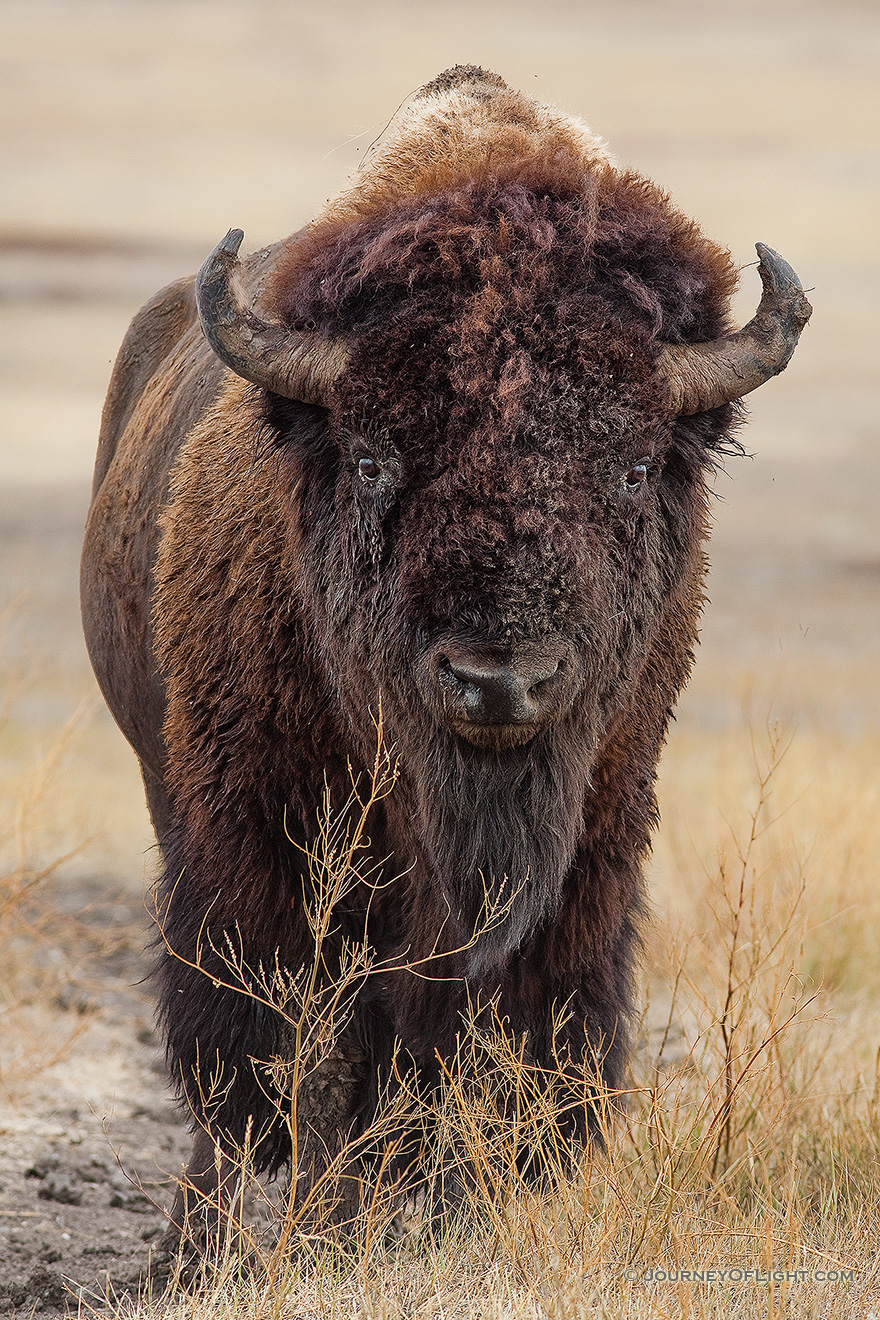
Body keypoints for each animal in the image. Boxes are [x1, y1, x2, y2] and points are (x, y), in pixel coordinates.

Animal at [82, 62, 812, 1235]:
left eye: (633, 465)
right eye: (375, 457)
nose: (498, 680)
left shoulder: (590, 843)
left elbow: (500, 1037)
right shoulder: (265, 838)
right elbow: (299, 1045)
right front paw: (322, 1223)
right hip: (167, 786)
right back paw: (204, 1232)